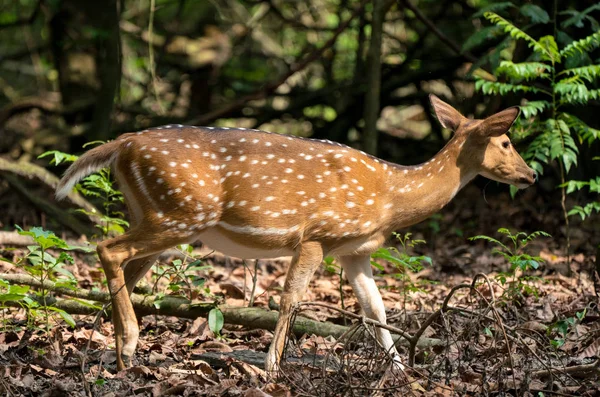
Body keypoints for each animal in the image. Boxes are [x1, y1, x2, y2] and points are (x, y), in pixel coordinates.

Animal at [55, 95, 536, 372]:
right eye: (507, 141)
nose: (531, 174)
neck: (389, 197)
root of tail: (121, 145)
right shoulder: (317, 235)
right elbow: (290, 299)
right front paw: (271, 368)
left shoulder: (354, 250)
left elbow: (376, 310)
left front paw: (400, 371)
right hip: (182, 212)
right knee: (108, 248)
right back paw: (129, 344)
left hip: (157, 213)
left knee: (126, 266)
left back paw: (107, 352)